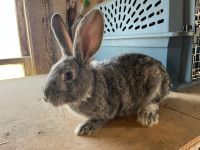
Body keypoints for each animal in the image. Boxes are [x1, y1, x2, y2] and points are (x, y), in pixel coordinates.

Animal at [42, 9, 170, 136]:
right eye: (52, 68)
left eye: (68, 75)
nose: (45, 97)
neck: (91, 87)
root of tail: (167, 79)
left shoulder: (107, 110)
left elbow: (102, 119)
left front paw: (84, 127)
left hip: (154, 88)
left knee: (154, 102)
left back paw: (147, 117)